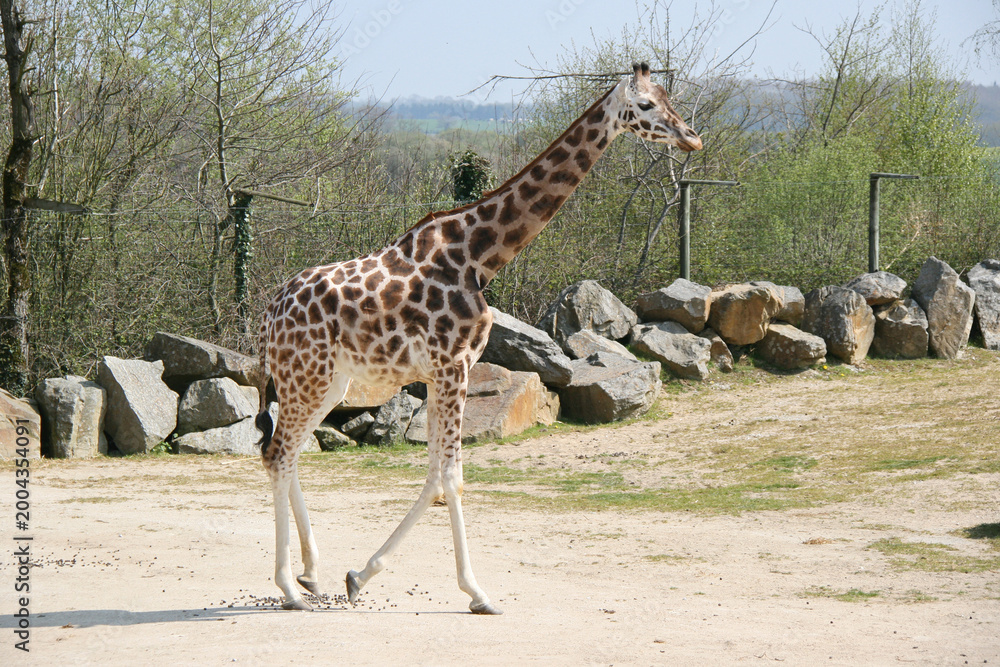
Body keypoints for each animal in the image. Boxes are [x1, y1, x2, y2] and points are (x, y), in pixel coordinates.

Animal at [256, 62, 702, 613]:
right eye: (645, 106)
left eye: (669, 97)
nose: (692, 137)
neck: (479, 256)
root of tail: (269, 314)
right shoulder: (454, 366)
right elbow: (452, 477)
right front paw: (477, 592)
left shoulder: (438, 373)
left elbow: (435, 474)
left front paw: (359, 575)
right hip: (306, 375)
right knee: (278, 453)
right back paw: (288, 587)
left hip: (329, 382)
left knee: (289, 454)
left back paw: (311, 575)